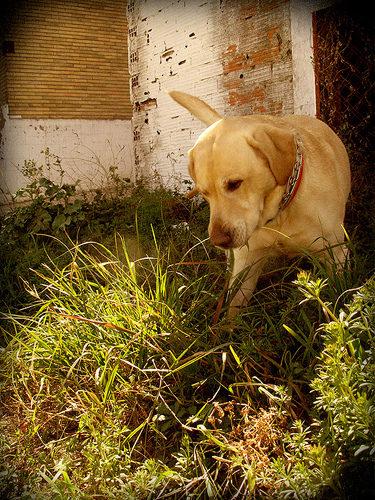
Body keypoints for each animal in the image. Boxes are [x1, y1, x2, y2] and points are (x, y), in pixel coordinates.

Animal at [169, 90, 352, 316]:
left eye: (234, 184)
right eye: (204, 193)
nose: (218, 241)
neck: (280, 214)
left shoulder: (336, 254)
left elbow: (336, 300)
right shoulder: (245, 266)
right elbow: (233, 309)